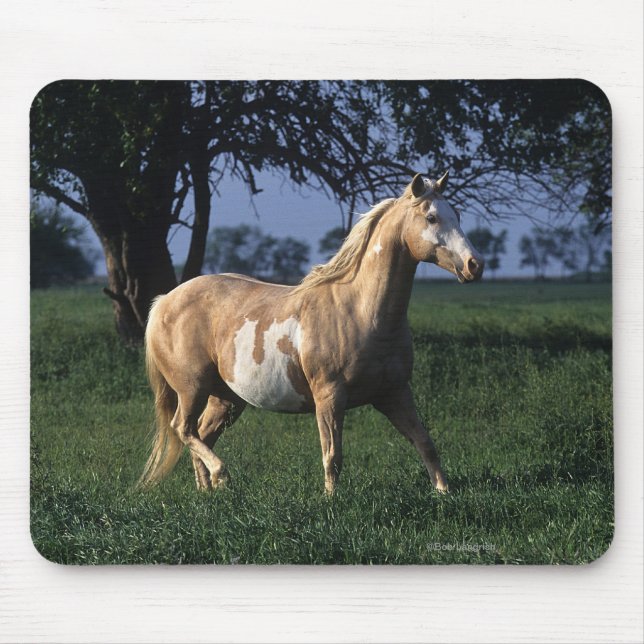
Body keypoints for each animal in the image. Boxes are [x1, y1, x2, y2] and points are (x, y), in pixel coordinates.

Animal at [138, 171, 484, 495]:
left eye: (456, 214)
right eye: (431, 217)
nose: (474, 265)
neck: (360, 312)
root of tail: (164, 301)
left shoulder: (395, 393)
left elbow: (425, 443)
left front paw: (444, 493)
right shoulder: (329, 396)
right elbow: (333, 456)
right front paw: (331, 501)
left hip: (225, 398)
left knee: (201, 433)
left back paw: (208, 491)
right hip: (191, 388)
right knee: (183, 429)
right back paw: (221, 475)